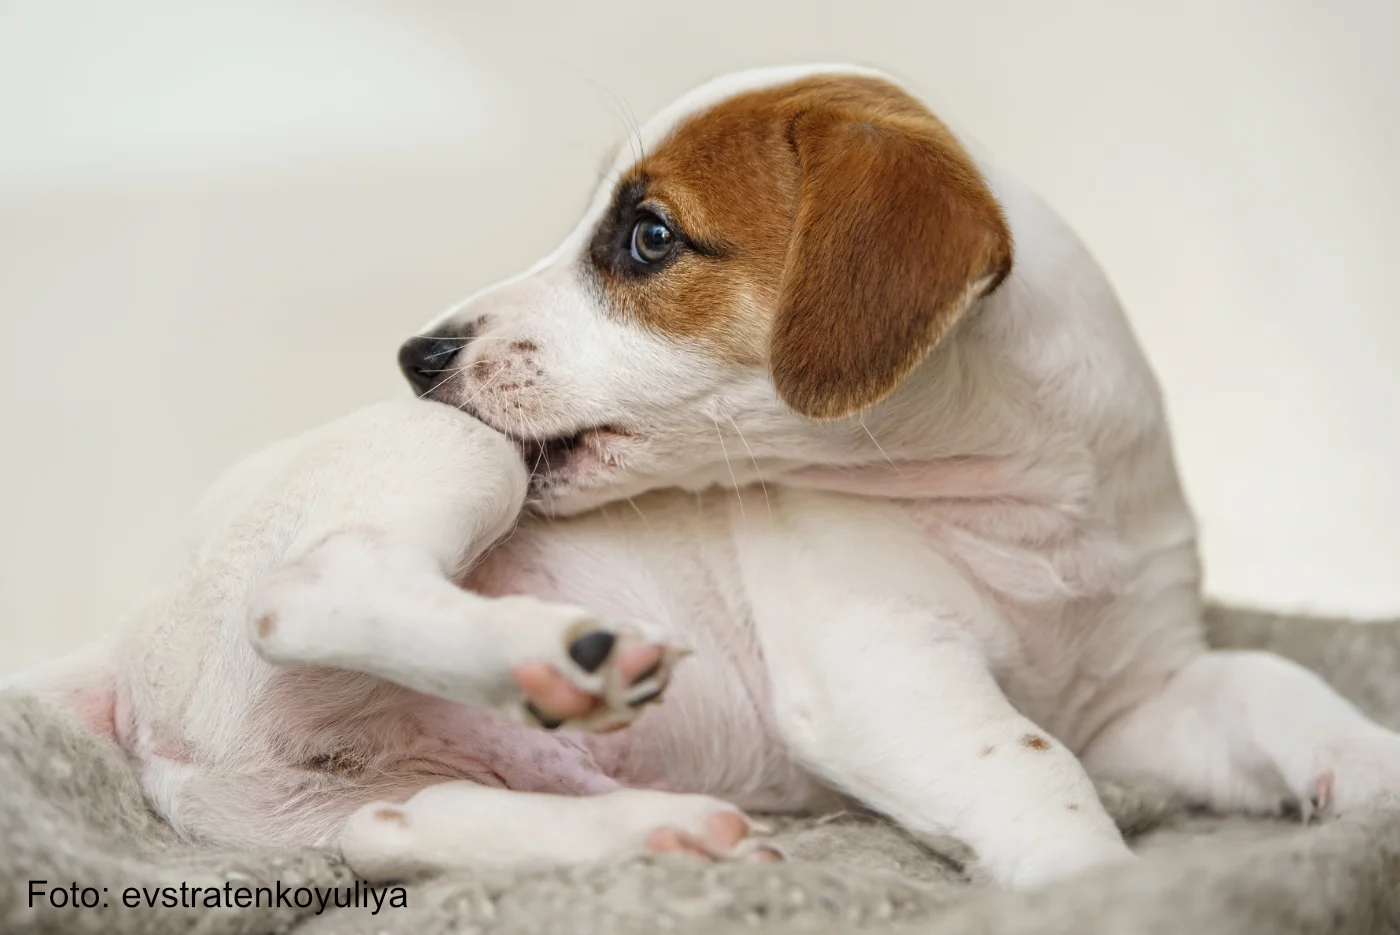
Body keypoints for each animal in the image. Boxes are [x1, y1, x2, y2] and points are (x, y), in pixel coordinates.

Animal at [10, 67, 1400, 890]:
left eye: (647, 237)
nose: (417, 356)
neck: (1021, 505)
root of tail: (125, 645)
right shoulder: (881, 671)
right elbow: (1030, 766)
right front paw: (1095, 887)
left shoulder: (1144, 692)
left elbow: (1276, 683)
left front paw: (1371, 778)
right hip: (452, 461)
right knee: (309, 586)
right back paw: (556, 654)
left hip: (334, 803)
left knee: (401, 827)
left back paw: (651, 830)